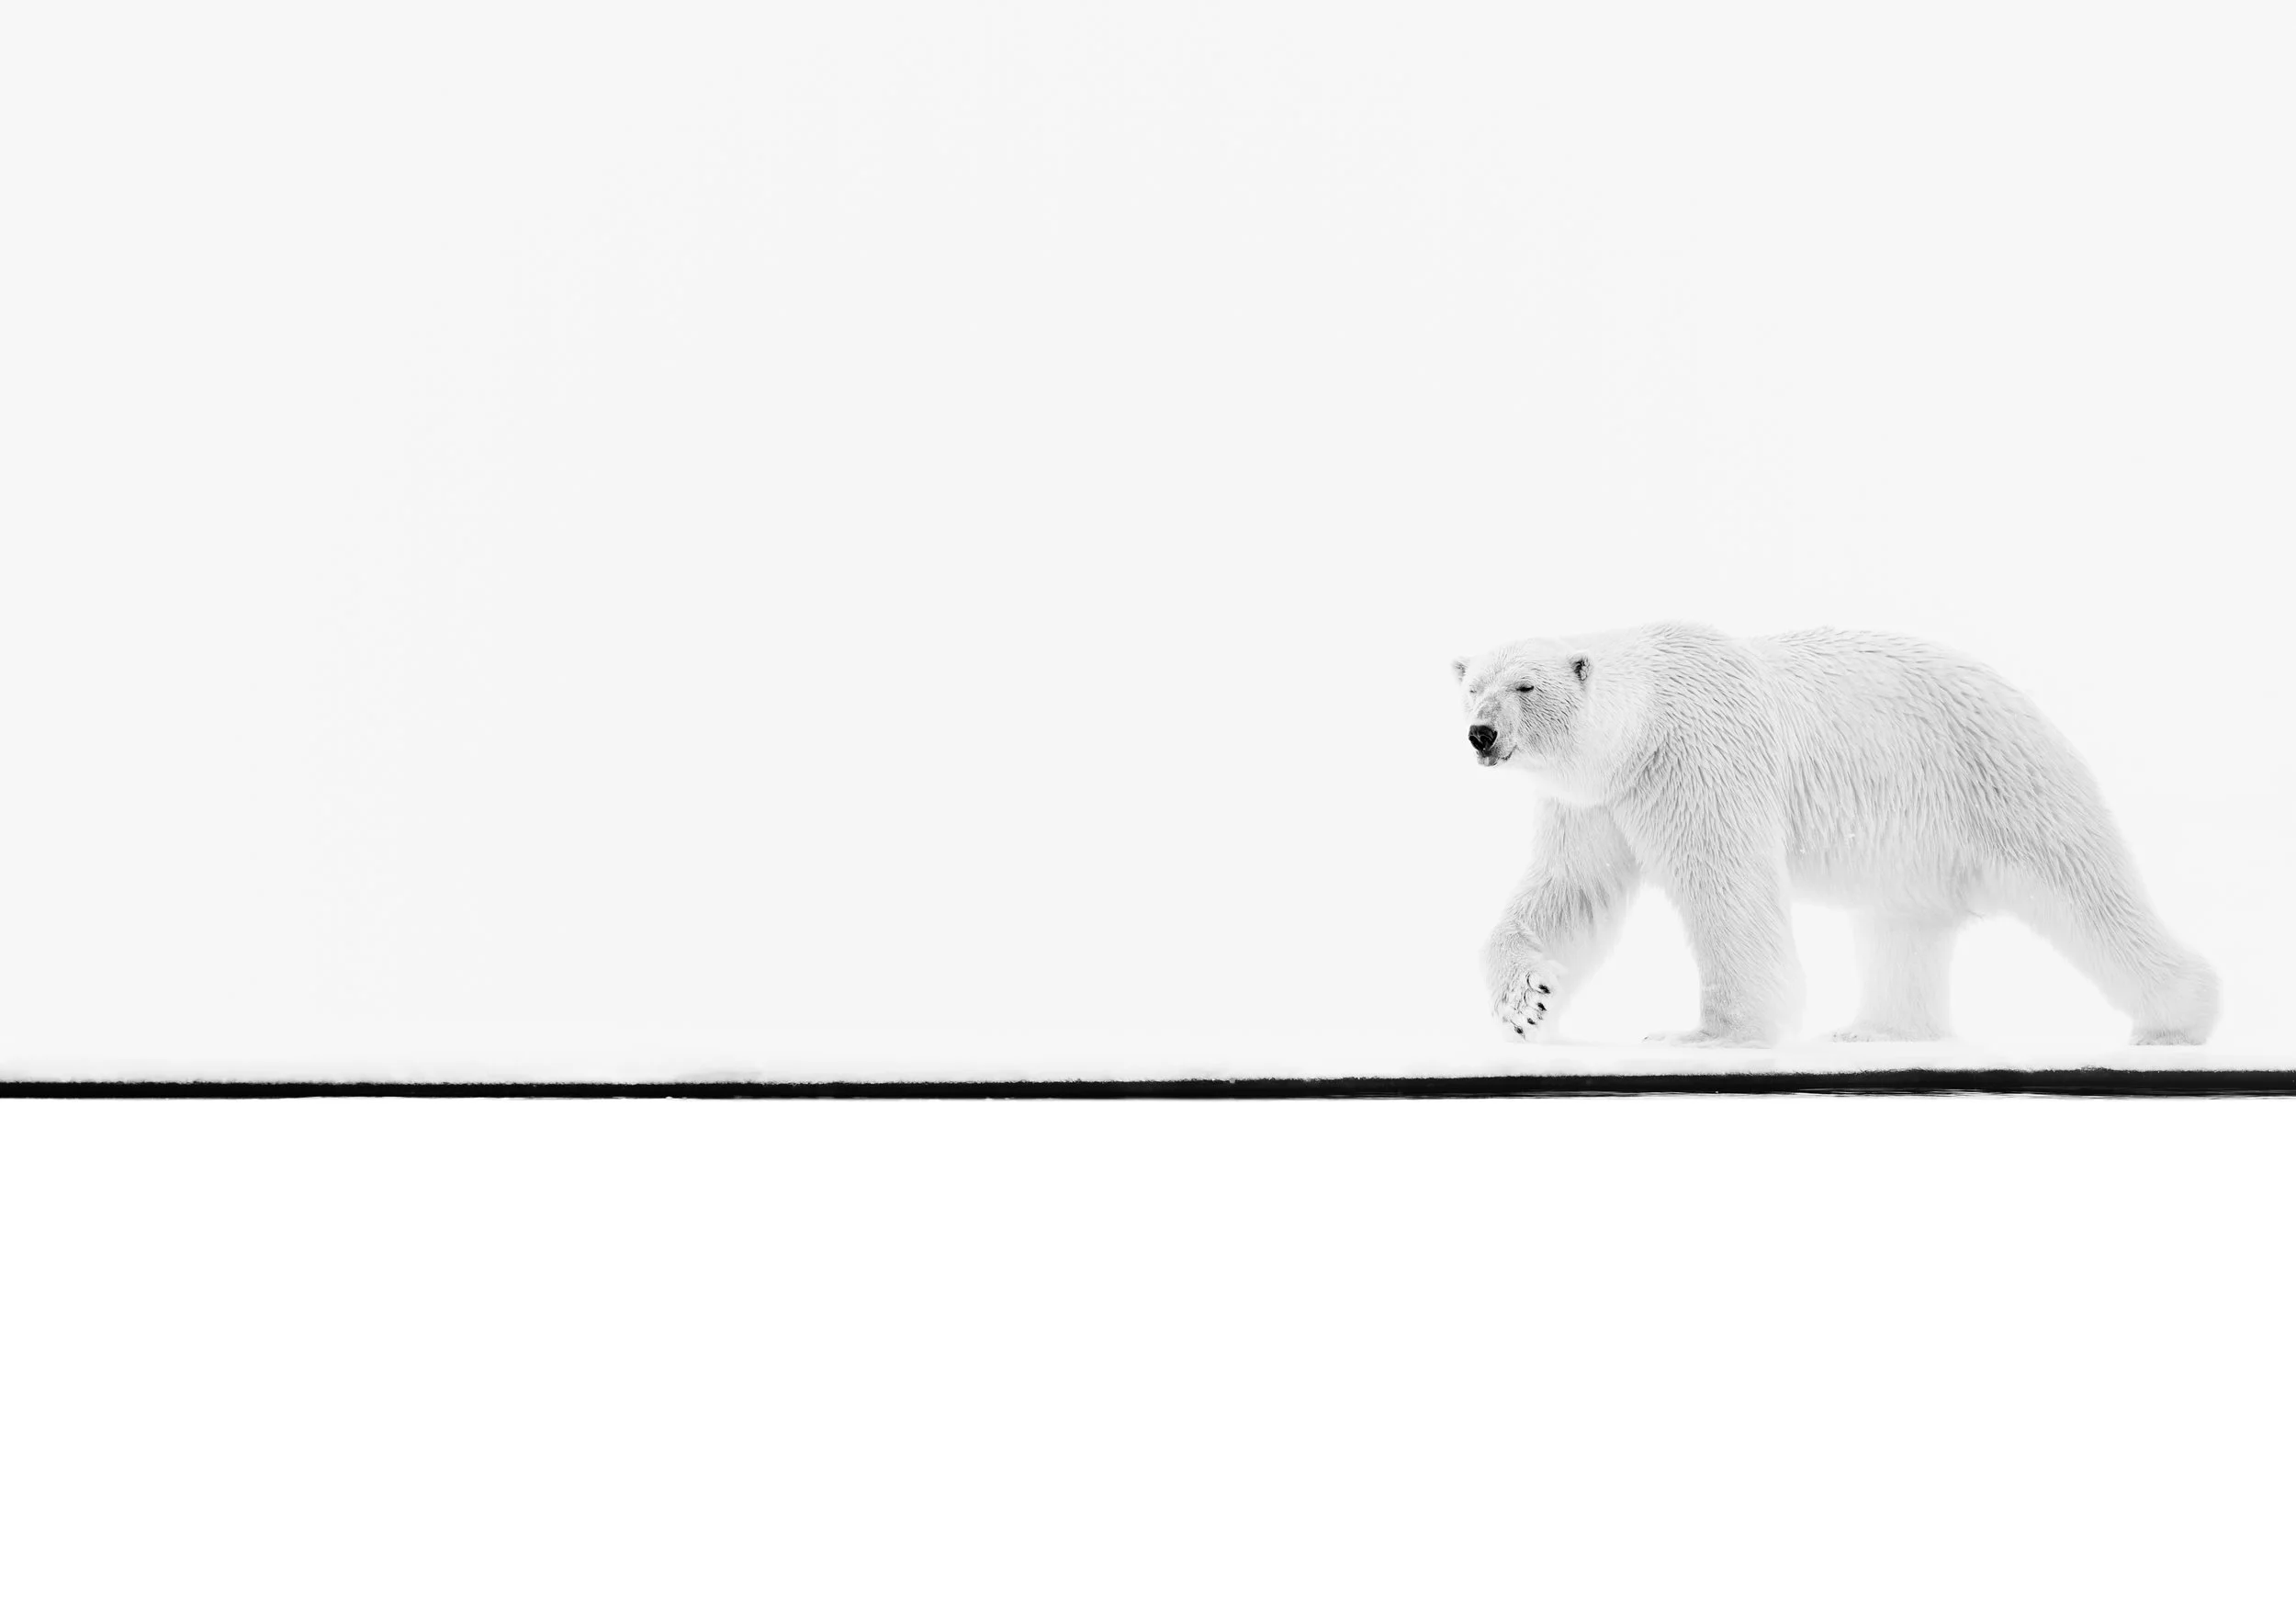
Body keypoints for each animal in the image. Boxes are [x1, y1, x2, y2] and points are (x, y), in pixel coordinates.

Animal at [1454, 622, 2218, 1047]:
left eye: (1525, 686)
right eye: (1471, 686)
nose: (1481, 734)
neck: (1644, 725)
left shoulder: (1699, 759)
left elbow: (1726, 891)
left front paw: (1707, 1034)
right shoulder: (1593, 803)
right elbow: (1569, 894)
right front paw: (1527, 1003)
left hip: (1999, 779)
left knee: (2087, 894)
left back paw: (2177, 1021)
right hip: (1916, 847)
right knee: (1900, 931)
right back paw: (1876, 1028)